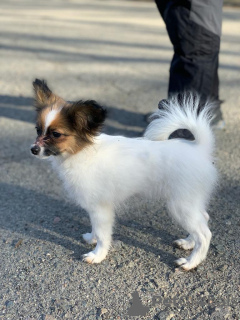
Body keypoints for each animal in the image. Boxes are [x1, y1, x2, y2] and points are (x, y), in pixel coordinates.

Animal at [30, 79, 218, 270]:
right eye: (38, 130)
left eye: (56, 134)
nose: (33, 149)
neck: (82, 152)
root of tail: (200, 149)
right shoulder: (94, 207)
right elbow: (95, 228)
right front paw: (91, 238)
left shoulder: (101, 208)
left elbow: (103, 235)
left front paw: (97, 255)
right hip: (191, 202)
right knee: (204, 219)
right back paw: (188, 243)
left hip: (180, 205)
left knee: (205, 234)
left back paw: (190, 262)